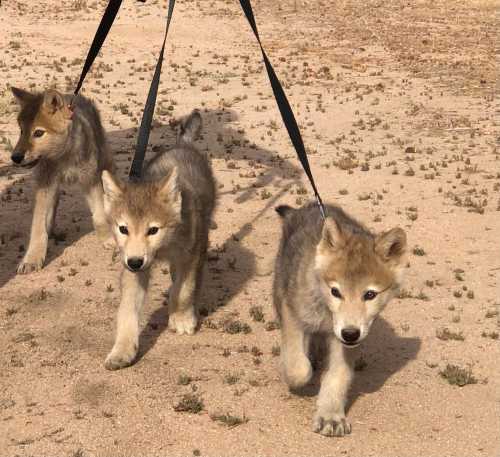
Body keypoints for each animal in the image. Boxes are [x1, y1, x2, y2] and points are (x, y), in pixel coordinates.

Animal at [10, 87, 113, 272]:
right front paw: (32, 259)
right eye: (21, 131)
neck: (64, 157)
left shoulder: (90, 180)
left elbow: (99, 216)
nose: (15, 157)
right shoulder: (45, 184)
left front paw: (107, 239)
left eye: (38, 133)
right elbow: (38, 226)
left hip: (104, 162)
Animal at [102, 110, 216, 370]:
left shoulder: (191, 256)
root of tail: (183, 144)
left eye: (153, 230)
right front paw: (122, 350)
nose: (135, 261)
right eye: (123, 229)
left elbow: (184, 290)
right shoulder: (134, 271)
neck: (164, 247)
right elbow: (127, 311)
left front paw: (181, 317)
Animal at [274, 202, 406, 434]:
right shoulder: (294, 317)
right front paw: (299, 375)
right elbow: (298, 368)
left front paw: (331, 416)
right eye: (335, 291)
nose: (350, 333)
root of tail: (304, 207)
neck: (327, 313)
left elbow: (338, 376)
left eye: (370, 294)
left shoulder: (344, 342)